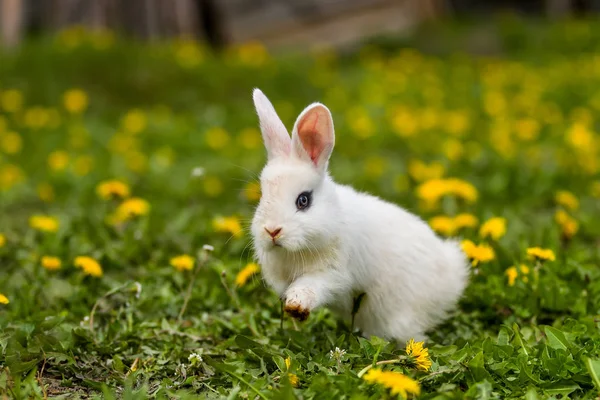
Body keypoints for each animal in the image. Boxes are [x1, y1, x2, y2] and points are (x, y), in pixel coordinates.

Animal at [248, 89, 468, 342]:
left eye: (303, 200)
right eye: (262, 195)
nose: (272, 231)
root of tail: (452, 274)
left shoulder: (334, 274)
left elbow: (313, 285)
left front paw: (297, 305)